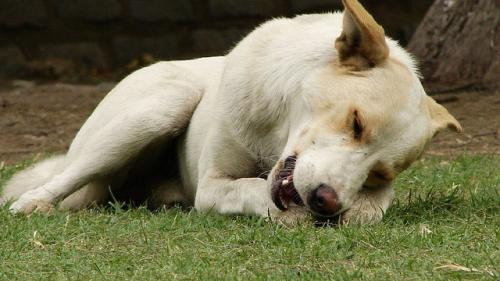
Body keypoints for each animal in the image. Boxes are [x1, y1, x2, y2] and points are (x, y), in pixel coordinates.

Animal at [0, 0, 460, 223]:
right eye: (356, 122)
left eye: (380, 174)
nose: (326, 202)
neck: (275, 134)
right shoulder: (213, 185)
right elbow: (252, 190)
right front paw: (292, 215)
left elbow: (369, 213)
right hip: (160, 107)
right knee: (65, 177)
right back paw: (31, 204)